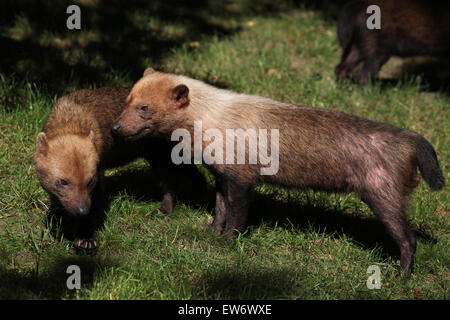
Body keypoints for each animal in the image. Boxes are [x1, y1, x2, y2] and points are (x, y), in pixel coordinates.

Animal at [35, 88, 204, 250]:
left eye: (90, 181)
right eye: (63, 182)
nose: (82, 210)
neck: (70, 121)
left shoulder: (99, 175)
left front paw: (86, 238)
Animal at [111, 69, 442, 274]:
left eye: (145, 107)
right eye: (127, 100)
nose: (114, 128)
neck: (211, 117)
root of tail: (412, 141)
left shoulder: (242, 180)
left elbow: (237, 216)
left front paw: (228, 243)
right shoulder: (221, 176)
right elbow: (219, 210)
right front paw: (212, 236)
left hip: (384, 198)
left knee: (408, 240)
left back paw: (401, 276)